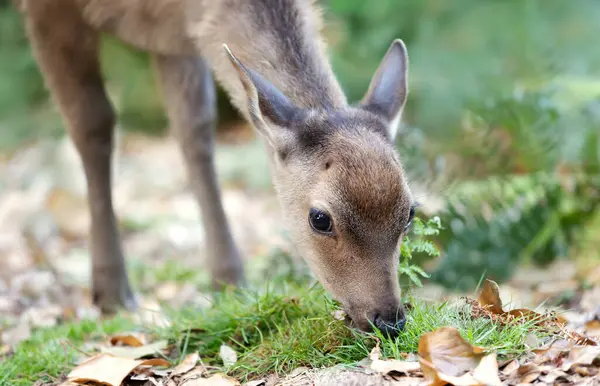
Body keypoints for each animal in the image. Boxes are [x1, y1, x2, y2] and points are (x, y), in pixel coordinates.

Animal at [14, 0, 418, 338]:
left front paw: (228, 281)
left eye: (410, 212)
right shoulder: (47, 9)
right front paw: (111, 294)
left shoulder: (175, 35)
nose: (389, 320)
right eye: (320, 218)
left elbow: (194, 126)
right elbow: (92, 124)